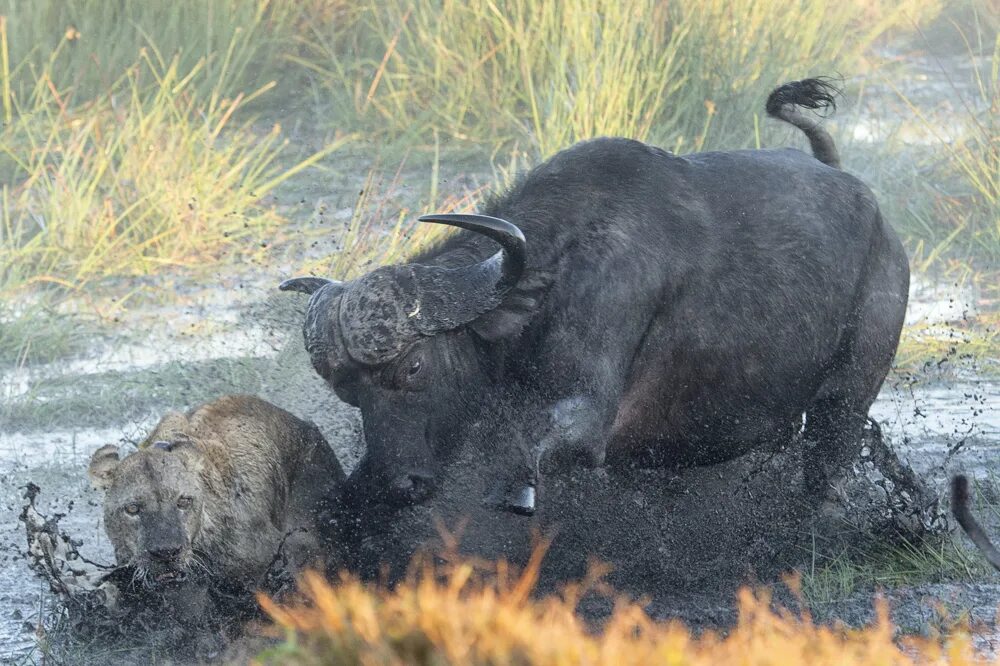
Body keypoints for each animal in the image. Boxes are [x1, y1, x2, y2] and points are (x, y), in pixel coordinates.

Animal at [284, 79, 916, 512]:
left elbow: (536, 457)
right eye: (347, 392)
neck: (553, 273)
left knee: (829, 460)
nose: (399, 484)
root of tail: (866, 203)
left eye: (414, 366)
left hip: (848, 397)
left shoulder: (588, 412)